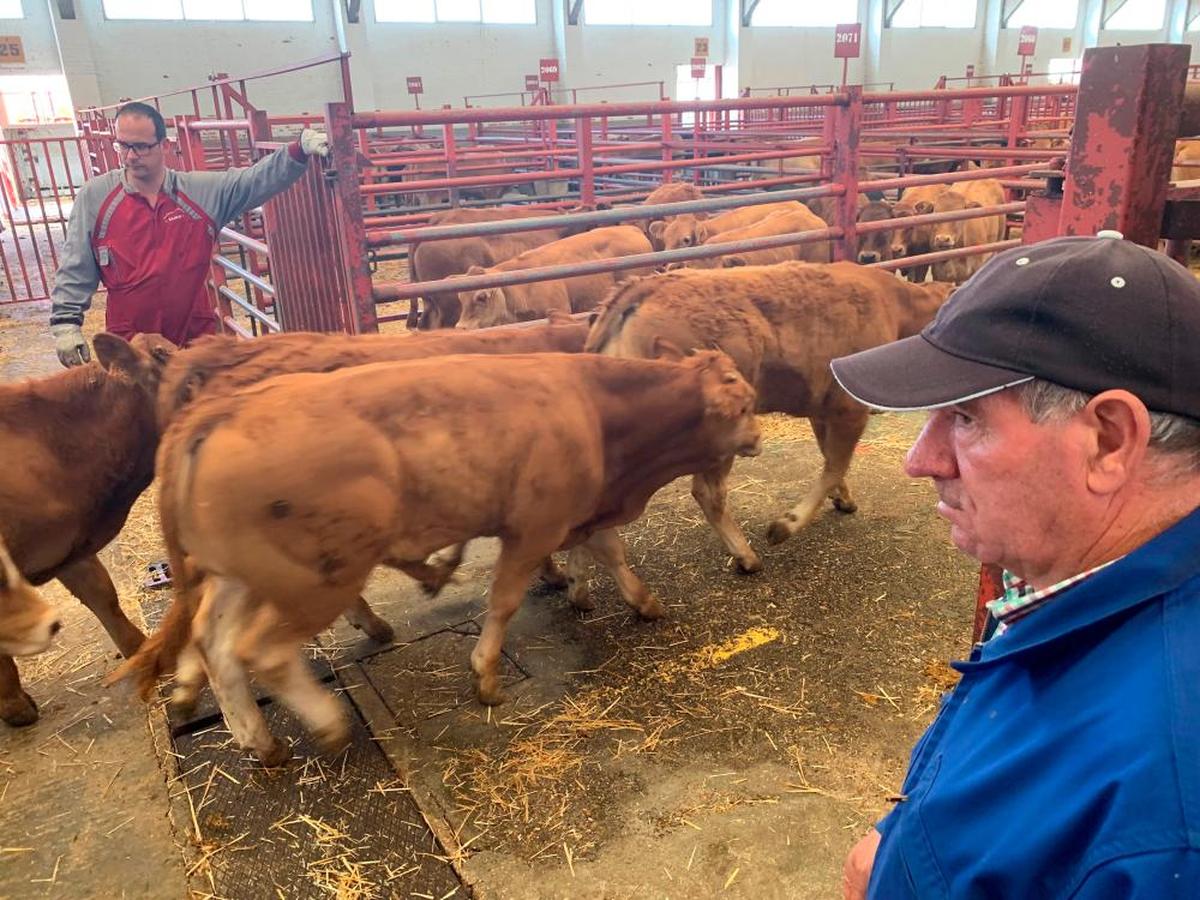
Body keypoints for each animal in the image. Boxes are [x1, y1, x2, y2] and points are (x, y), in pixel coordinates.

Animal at [108, 348, 753, 763]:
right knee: (257, 651)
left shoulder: (579, 512)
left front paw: (641, 601)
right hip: (315, 583)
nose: (757, 431)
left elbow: (612, 554)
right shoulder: (533, 528)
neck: (591, 405)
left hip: (240, 578)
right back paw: (328, 724)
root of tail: (217, 411)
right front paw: (486, 674)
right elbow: (504, 601)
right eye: (743, 404)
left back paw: (258, 740)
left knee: (214, 643)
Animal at [585, 260, 950, 571]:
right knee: (708, 493)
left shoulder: (823, 411)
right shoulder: (849, 409)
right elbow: (835, 465)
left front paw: (843, 498)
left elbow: (830, 459)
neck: (895, 304)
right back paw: (745, 556)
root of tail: (642, 288)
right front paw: (785, 525)